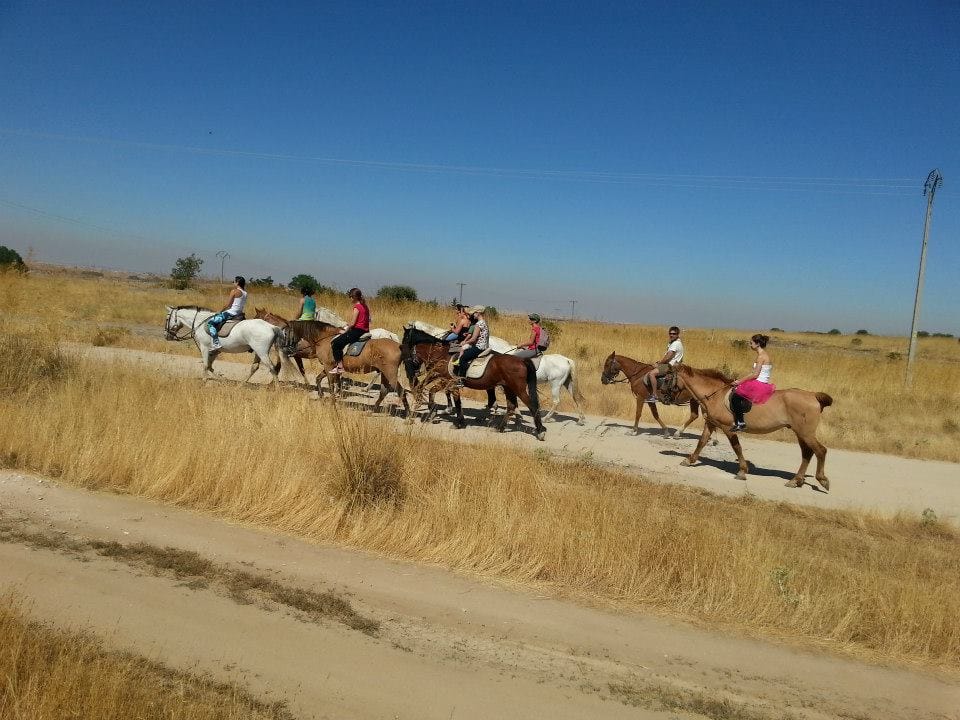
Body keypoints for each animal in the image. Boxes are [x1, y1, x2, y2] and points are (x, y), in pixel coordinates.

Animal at [279, 320, 409, 414]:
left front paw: (332, 402)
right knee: (384, 391)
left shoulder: (328, 366)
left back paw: (408, 415)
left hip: (389, 373)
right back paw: (372, 410)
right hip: (384, 373)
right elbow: (319, 379)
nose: (284, 348)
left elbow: (331, 384)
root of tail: (398, 345)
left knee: (400, 391)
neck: (325, 338)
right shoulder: (330, 367)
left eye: (285, 333)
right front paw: (322, 396)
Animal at [399, 325, 547, 441]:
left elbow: (442, 395)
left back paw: (540, 431)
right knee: (510, 406)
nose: (410, 371)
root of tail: (522, 360)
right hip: (508, 388)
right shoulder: (441, 377)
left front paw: (450, 419)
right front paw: (439, 413)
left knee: (532, 406)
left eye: (405, 338)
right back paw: (500, 427)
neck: (441, 353)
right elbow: (441, 394)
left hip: (518, 389)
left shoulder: (448, 380)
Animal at [673, 364, 833, 489]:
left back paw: (821, 479)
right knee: (807, 453)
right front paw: (689, 460)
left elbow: (736, 447)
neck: (715, 394)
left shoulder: (727, 427)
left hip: (805, 432)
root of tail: (813, 395)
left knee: (820, 451)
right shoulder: (711, 423)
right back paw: (796, 480)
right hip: (800, 432)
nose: (671, 398)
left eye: (669, 375)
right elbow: (702, 441)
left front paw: (742, 471)